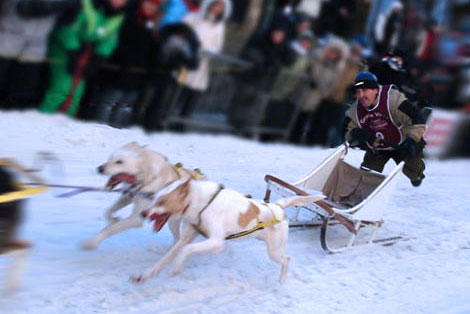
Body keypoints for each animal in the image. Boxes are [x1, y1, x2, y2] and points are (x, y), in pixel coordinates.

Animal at [130, 178, 324, 284]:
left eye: (162, 201)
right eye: (154, 198)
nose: (143, 213)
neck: (202, 202)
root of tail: (277, 206)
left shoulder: (217, 243)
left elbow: (185, 250)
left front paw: (177, 267)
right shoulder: (186, 238)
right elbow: (165, 259)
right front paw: (146, 274)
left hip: (274, 251)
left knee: (287, 260)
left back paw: (281, 281)